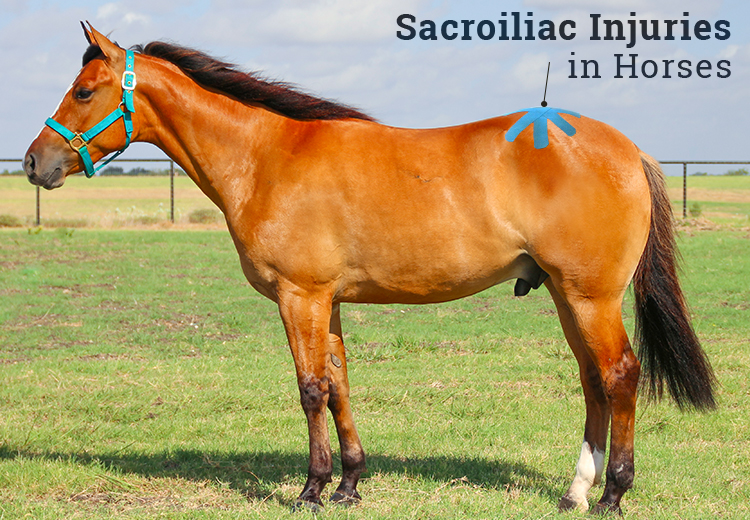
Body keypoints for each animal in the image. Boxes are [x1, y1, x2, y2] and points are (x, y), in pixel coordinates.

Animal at [24, 23, 716, 514]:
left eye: (84, 92)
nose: (34, 162)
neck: (267, 155)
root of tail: (629, 149)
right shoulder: (327, 300)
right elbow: (339, 386)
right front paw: (350, 483)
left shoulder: (299, 296)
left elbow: (309, 389)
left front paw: (311, 489)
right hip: (568, 297)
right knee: (593, 380)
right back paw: (576, 491)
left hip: (590, 296)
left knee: (621, 376)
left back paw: (614, 493)